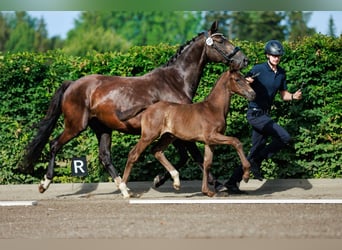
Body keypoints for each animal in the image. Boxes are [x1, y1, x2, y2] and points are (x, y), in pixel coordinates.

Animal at [119, 69, 255, 198]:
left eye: (245, 78)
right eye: (237, 79)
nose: (253, 94)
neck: (213, 108)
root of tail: (148, 107)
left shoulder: (210, 142)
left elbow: (207, 164)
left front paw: (207, 192)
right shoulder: (212, 136)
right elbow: (236, 141)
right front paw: (246, 175)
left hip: (168, 136)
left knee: (156, 151)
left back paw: (176, 181)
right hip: (148, 136)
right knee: (133, 154)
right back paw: (124, 190)